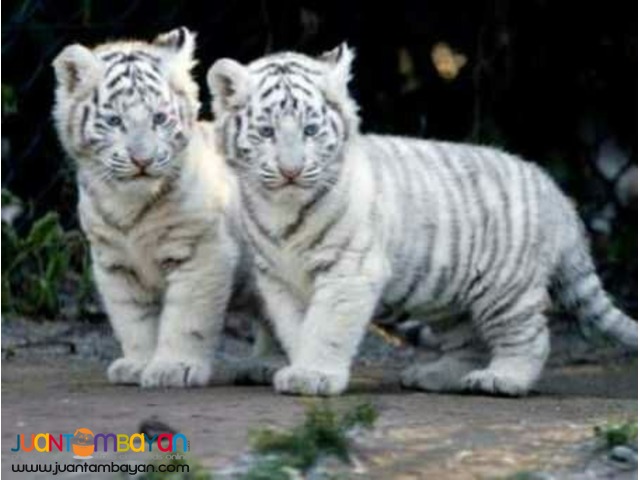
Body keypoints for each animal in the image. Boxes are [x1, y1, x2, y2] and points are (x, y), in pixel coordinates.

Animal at [52, 27, 273, 388]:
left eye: (159, 118)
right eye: (114, 120)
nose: (142, 160)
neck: (130, 205)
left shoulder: (202, 251)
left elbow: (186, 317)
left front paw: (175, 368)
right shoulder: (114, 262)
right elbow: (133, 320)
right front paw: (137, 365)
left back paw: (269, 365)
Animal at [206, 44, 637, 397]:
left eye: (311, 130)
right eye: (266, 132)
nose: (291, 171)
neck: (283, 210)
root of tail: (555, 192)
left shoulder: (350, 270)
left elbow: (326, 326)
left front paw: (314, 375)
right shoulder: (278, 278)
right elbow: (296, 328)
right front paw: (298, 367)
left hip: (505, 288)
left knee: (529, 337)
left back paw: (503, 379)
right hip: (451, 296)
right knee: (468, 341)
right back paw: (436, 375)